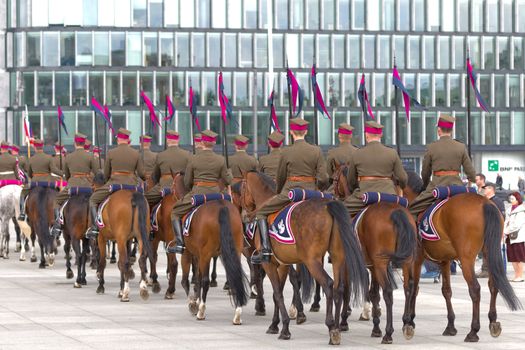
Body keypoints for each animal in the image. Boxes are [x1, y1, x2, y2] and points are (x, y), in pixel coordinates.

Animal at [239, 171, 366, 344]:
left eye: (242, 188)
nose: (244, 215)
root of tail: (328, 206)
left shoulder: (269, 264)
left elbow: (277, 293)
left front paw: (284, 328)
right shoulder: (283, 264)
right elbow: (277, 293)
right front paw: (275, 324)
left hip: (312, 261)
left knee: (328, 284)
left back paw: (331, 326)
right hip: (338, 257)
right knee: (339, 287)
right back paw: (338, 326)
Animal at [332, 165, 418, 344]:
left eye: (334, 179)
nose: (333, 194)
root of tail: (396, 212)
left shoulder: (348, 264)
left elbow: (347, 290)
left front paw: (343, 321)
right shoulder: (372, 266)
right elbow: (373, 294)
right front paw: (376, 326)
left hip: (382, 263)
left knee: (388, 292)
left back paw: (388, 333)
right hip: (406, 260)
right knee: (408, 287)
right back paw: (407, 325)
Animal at [402, 172, 520, 342]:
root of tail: (485, 203)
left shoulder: (416, 258)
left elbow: (413, 287)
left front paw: (409, 321)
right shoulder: (445, 261)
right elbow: (446, 291)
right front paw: (450, 326)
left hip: (466, 259)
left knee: (475, 289)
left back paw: (473, 330)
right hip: (489, 253)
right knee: (493, 285)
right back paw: (493, 321)